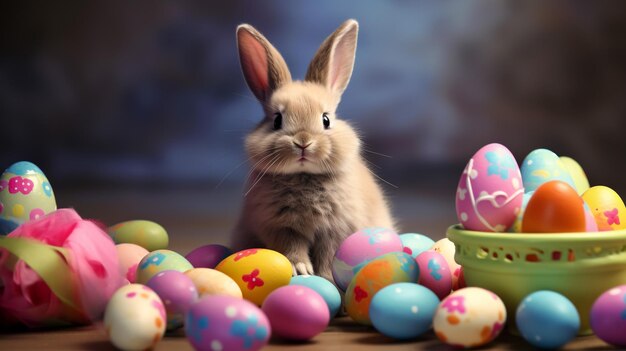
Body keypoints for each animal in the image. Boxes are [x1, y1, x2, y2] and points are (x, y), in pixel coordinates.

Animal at [229, 18, 394, 284]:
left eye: (326, 119)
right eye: (277, 120)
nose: (303, 142)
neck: (304, 176)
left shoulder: (335, 230)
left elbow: (329, 254)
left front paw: (325, 278)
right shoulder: (280, 227)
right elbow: (293, 249)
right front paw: (302, 270)